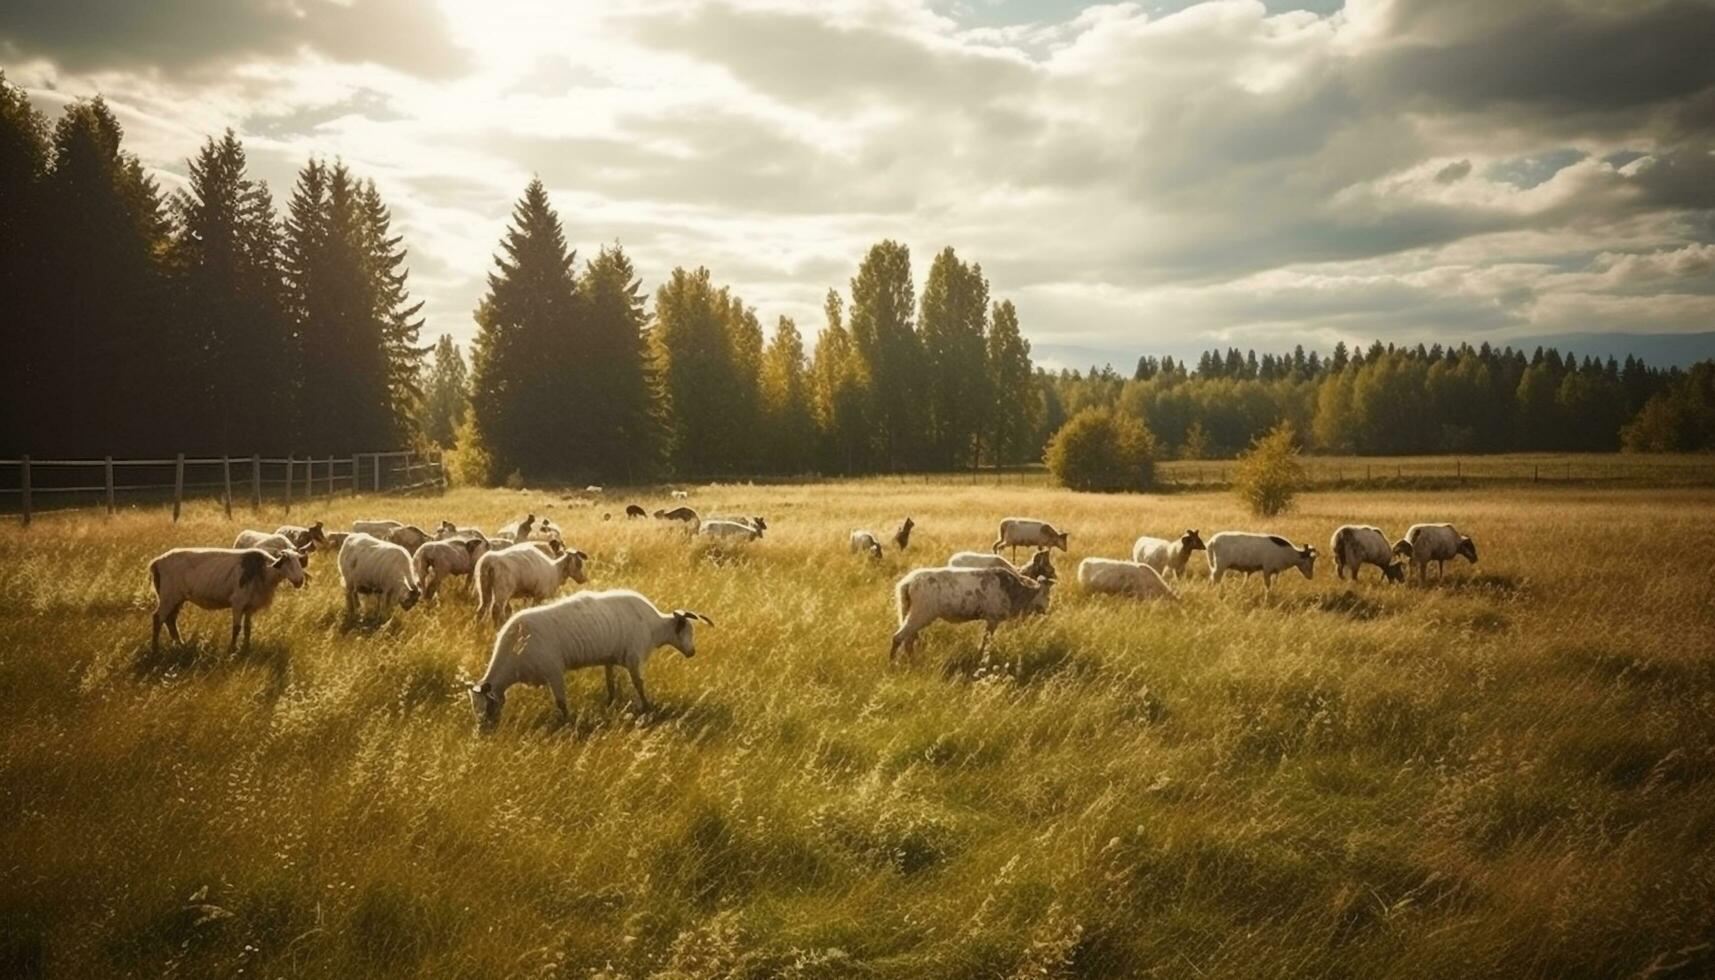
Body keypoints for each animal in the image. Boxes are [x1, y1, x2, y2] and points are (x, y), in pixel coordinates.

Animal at [148, 549, 308, 655]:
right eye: (287, 563)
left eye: (300, 563)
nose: (300, 581)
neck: (264, 571)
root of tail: (156, 562)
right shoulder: (238, 602)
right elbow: (236, 628)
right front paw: (232, 649)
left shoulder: (249, 605)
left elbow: (248, 628)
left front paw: (246, 648)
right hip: (168, 595)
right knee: (158, 618)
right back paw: (155, 649)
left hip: (176, 598)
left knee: (170, 620)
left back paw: (180, 644)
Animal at [466, 586, 713, 724]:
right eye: (477, 708)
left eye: (487, 707)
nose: (483, 732)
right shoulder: (613, 660)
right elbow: (610, 687)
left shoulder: (557, 671)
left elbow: (630, 685)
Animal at [891, 552, 1049, 659]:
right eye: (1046, 594)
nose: (1046, 609)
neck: (1016, 590)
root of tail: (908, 582)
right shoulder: (993, 618)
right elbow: (986, 641)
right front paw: (982, 657)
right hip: (922, 612)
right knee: (899, 637)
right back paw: (894, 664)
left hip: (906, 609)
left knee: (908, 640)